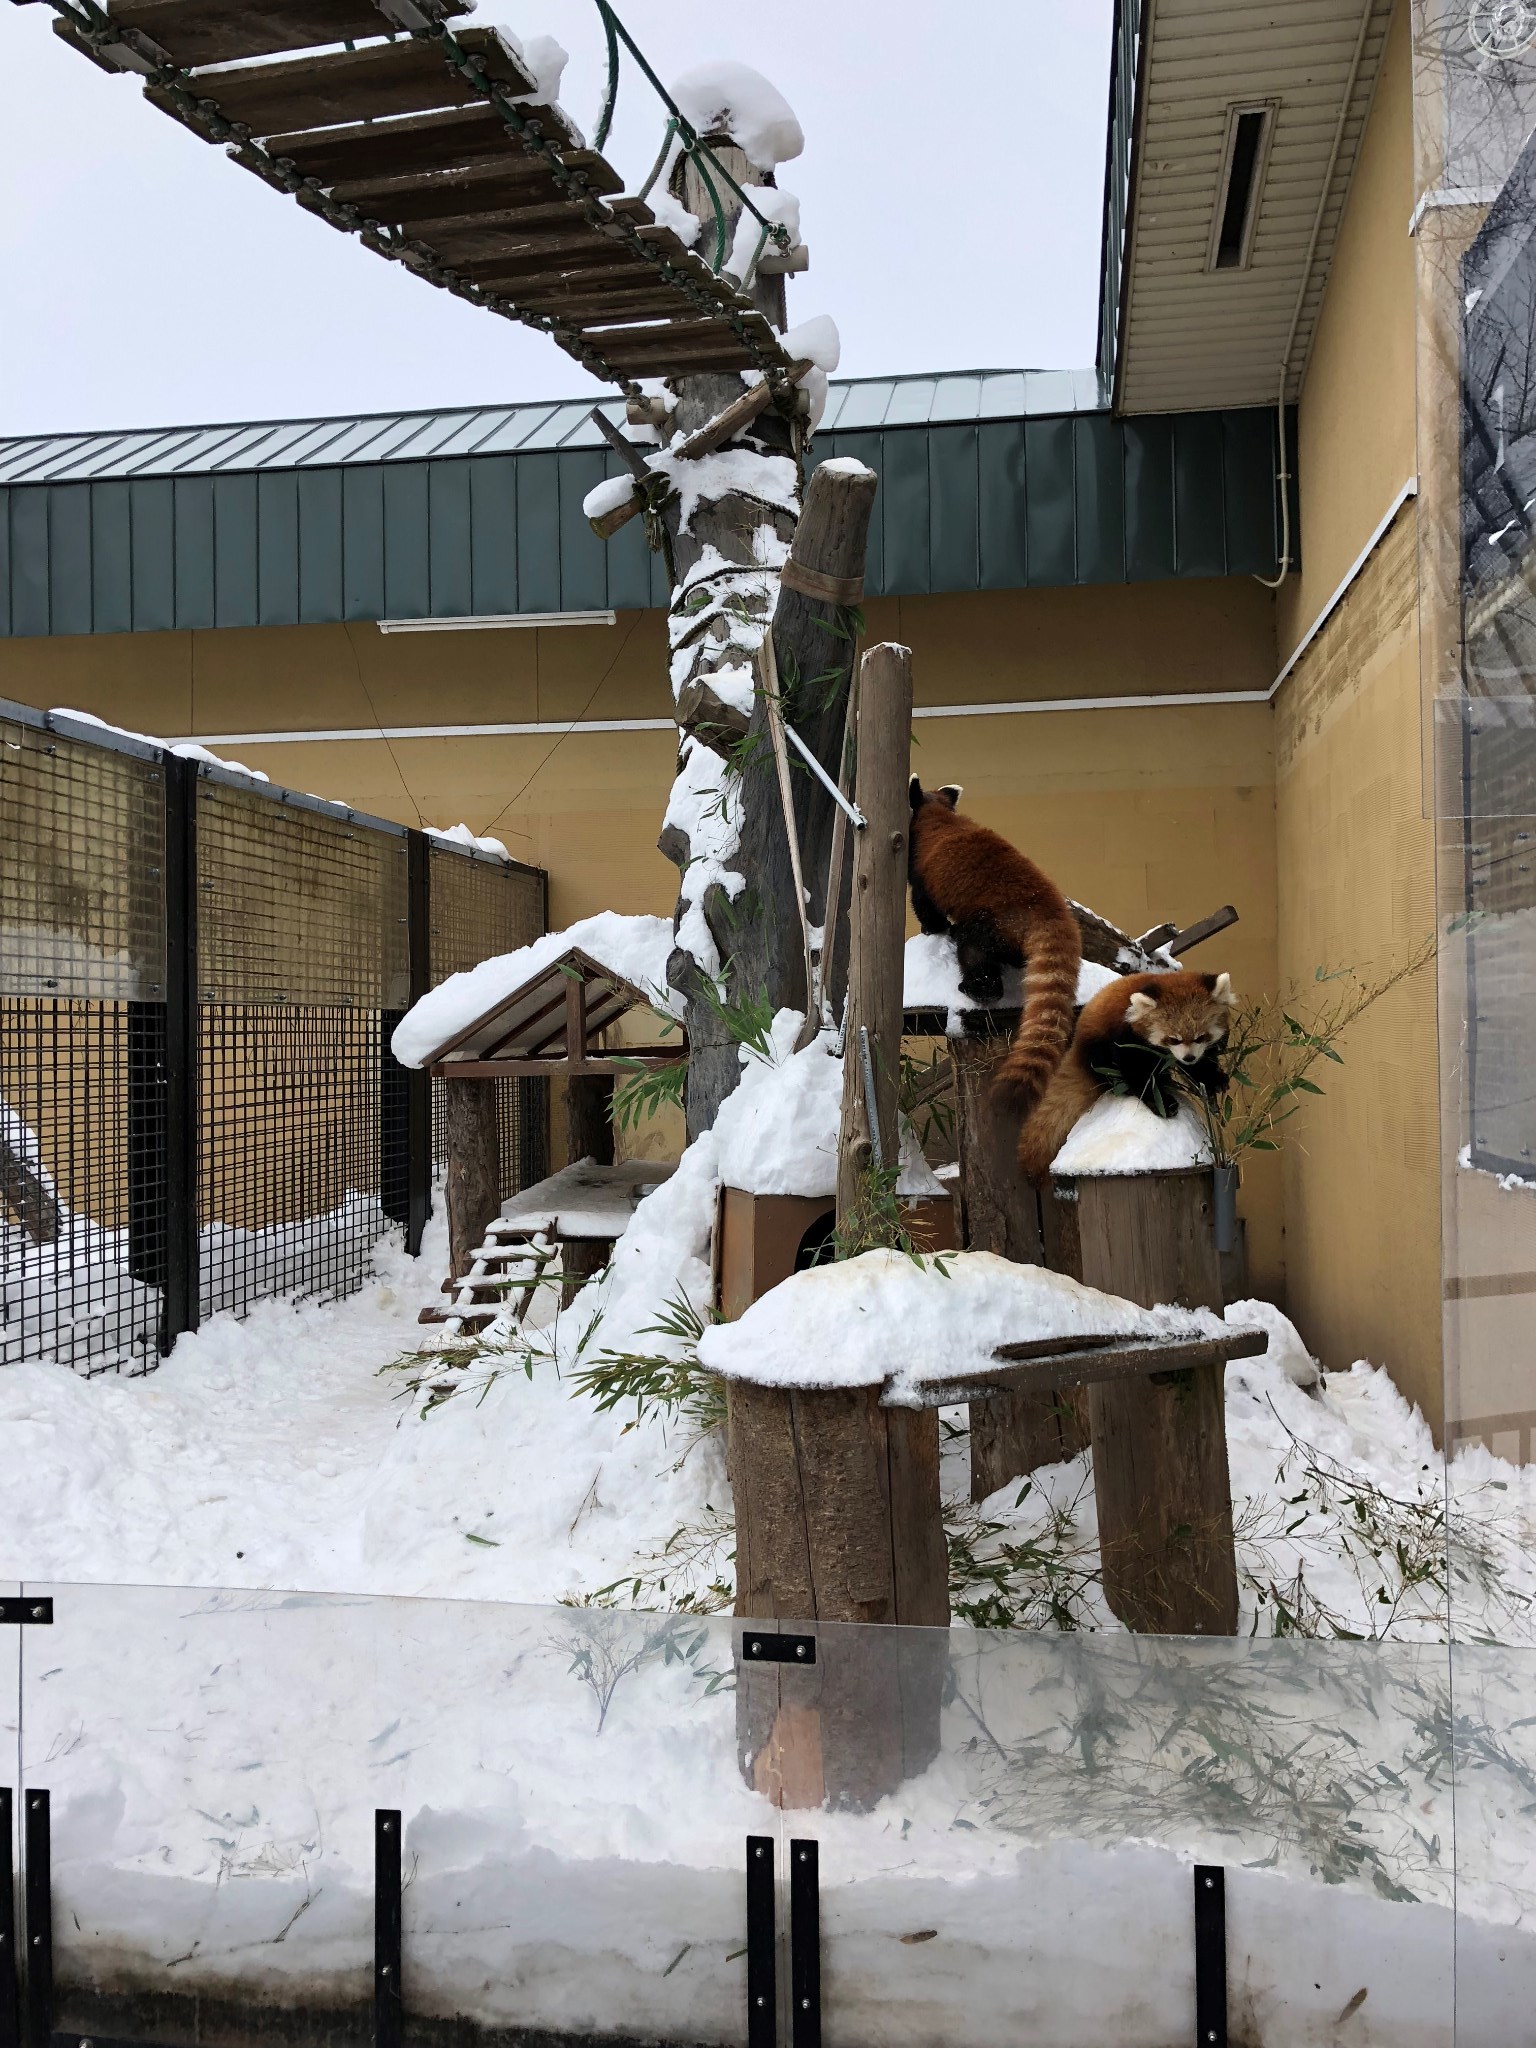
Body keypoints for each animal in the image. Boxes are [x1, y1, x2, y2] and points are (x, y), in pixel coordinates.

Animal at [901, 778, 1081, 1122]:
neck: (938, 817)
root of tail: (1050, 911)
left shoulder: (921, 868)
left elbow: (925, 906)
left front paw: (932, 928)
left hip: (992, 922)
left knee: (975, 954)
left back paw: (975, 985)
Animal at [1024, 966, 1236, 1179]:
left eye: (1201, 1037)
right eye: (1173, 1039)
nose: (1189, 1057)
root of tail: (1077, 1042)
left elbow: (1200, 1066)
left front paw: (1213, 1079)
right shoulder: (1127, 1038)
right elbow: (1137, 1073)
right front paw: (1161, 1102)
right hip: (1097, 1049)